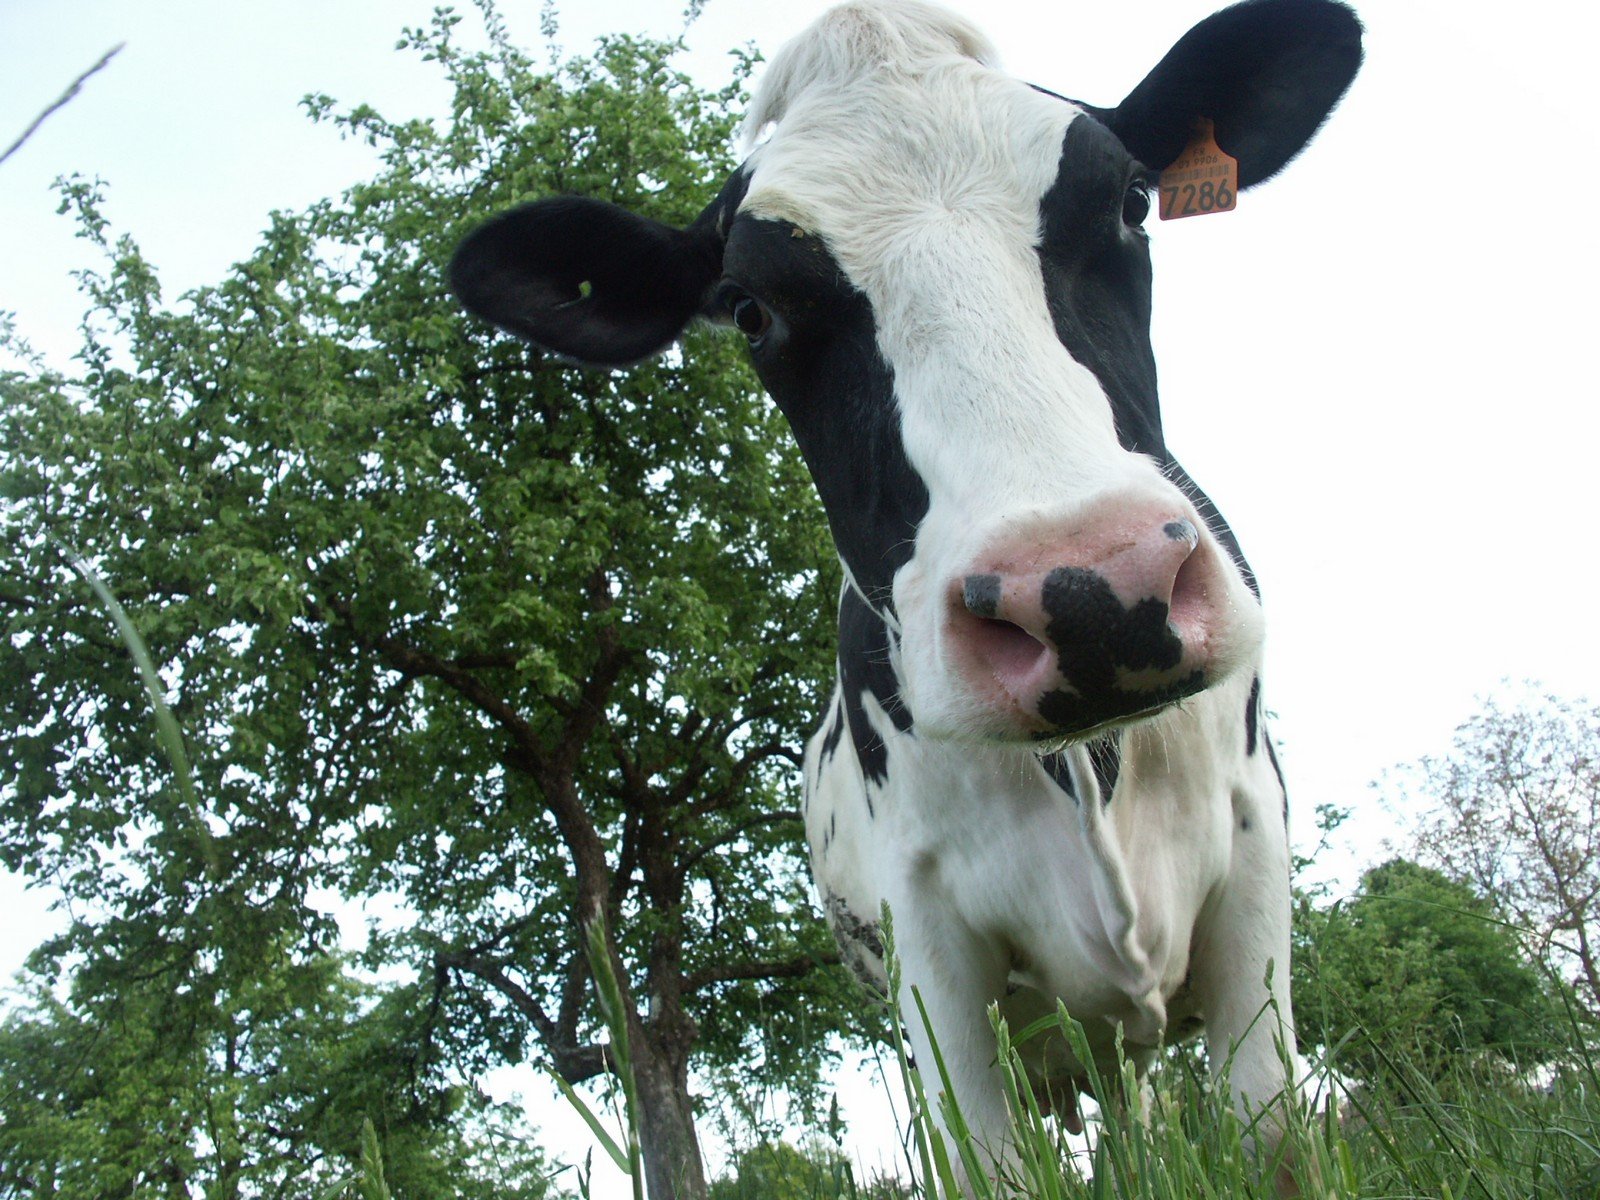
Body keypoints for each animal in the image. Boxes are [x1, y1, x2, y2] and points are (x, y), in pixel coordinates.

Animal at [451, 0, 1363, 1190]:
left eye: (1128, 201)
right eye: (748, 309)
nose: (1092, 594)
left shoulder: (1254, 851)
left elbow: (1268, 1135)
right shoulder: (928, 943)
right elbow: (984, 1161)